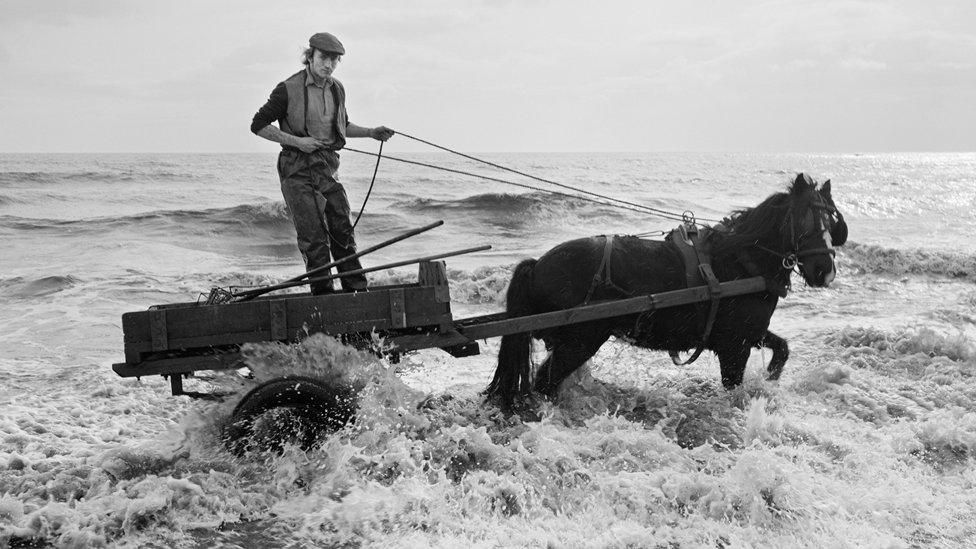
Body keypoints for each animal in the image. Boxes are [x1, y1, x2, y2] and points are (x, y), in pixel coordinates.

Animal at [486, 172, 848, 402]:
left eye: (832, 221)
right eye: (802, 220)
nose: (824, 271)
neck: (740, 260)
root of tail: (537, 265)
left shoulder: (750, 332)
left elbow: (782, 349)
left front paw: (771, 377)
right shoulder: (735, 346)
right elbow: (735, 387)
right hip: (579, 340)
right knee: (544, 384)